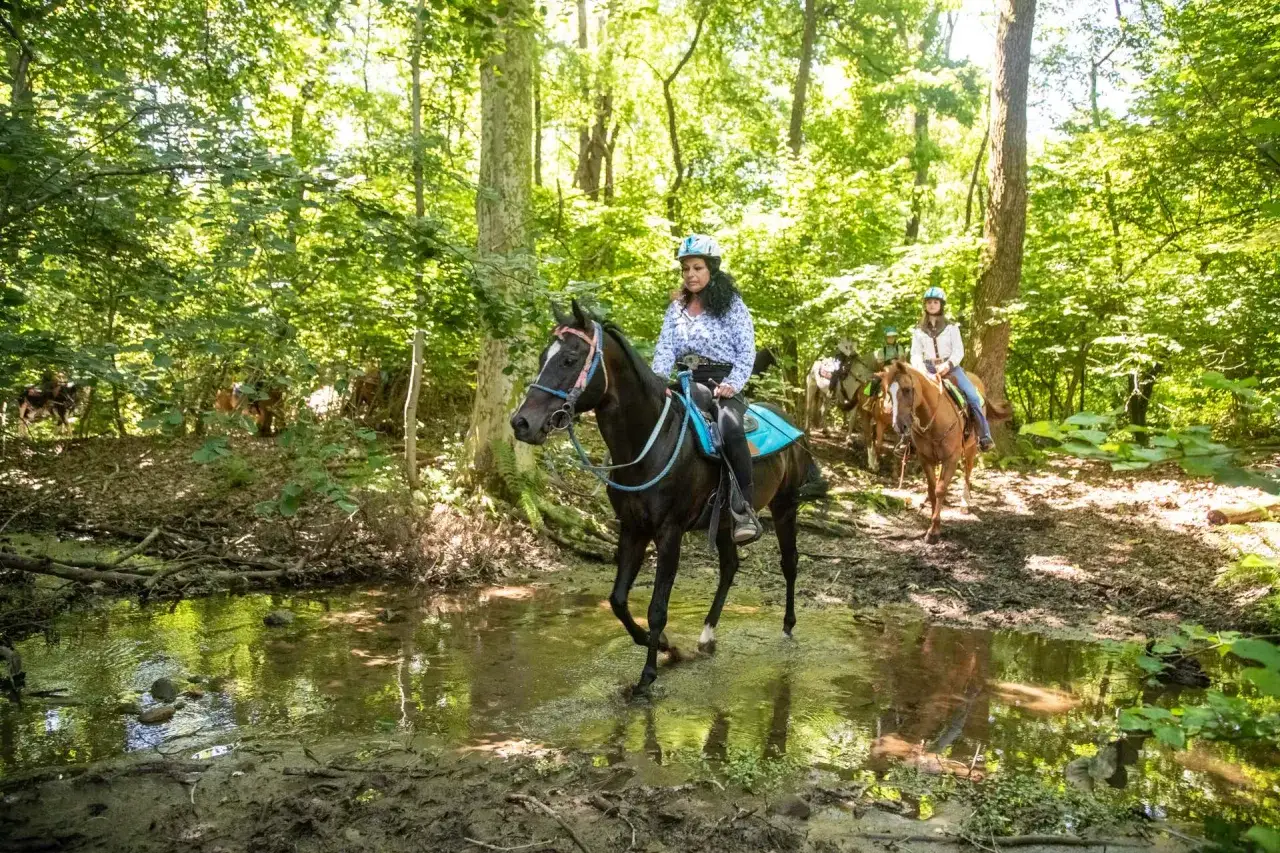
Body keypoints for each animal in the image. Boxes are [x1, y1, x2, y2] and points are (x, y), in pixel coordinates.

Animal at [510, 301, 816, 693]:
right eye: (541, 357)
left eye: (569, 359)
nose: (522, 423)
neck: (650, 441)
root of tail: (791, 422)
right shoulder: (632, 528)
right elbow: (618, 600)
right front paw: (666, 646)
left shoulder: (669, 532)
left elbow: (657, 608)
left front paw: (647, 677)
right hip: (724, 522)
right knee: (729, 567)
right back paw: (706, 637)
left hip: (785, 506)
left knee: (789, 564)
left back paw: (788, 627)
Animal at [880, 360, 1009, 542]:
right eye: (888, 394)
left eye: (907, 389)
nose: (899, 426)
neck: (934, 418)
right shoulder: (925, 459)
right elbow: (933, 489)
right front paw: (933, 523)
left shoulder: (951, 459)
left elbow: (940, 489)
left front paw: (934, 530)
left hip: (970, 449)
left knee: (967, 473)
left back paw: (964, 503)